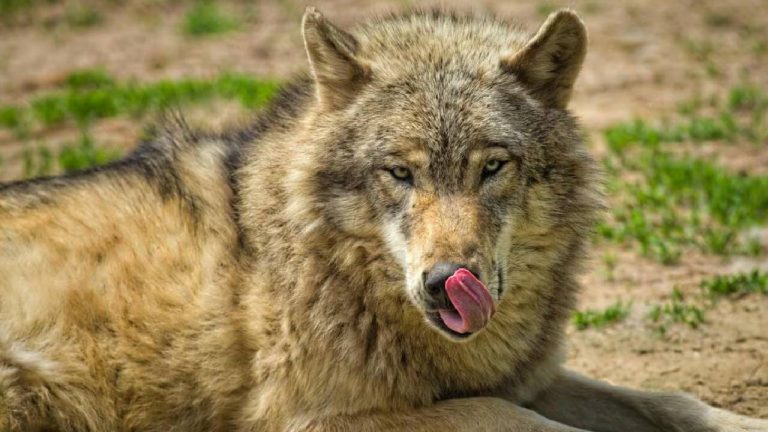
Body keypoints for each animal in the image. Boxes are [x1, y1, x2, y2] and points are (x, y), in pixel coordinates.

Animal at [1, 6, 766, 432]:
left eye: (493, 166)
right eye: (400, 173)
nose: (444, 281)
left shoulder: (527, 375)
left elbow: (675, 403)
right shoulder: (316, 420)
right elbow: (512, 420)